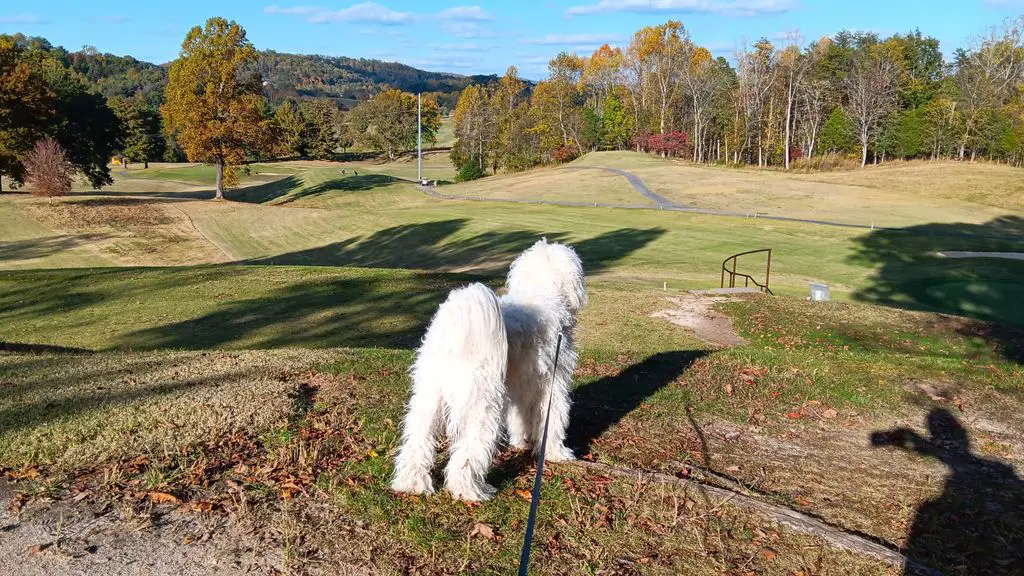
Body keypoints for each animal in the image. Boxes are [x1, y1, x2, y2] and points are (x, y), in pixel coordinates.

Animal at [389, 239, 589, 500]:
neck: (543, 292)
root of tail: (454, 331)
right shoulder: (553, 384)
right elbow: (553, 419)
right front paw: (556, 453)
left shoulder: (521, 387)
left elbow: (521, 418)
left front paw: (523, 442)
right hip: (481, 404)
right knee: (467, 453)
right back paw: (470, 491)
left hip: (428, 398)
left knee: (417, 441)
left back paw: (412, 483)